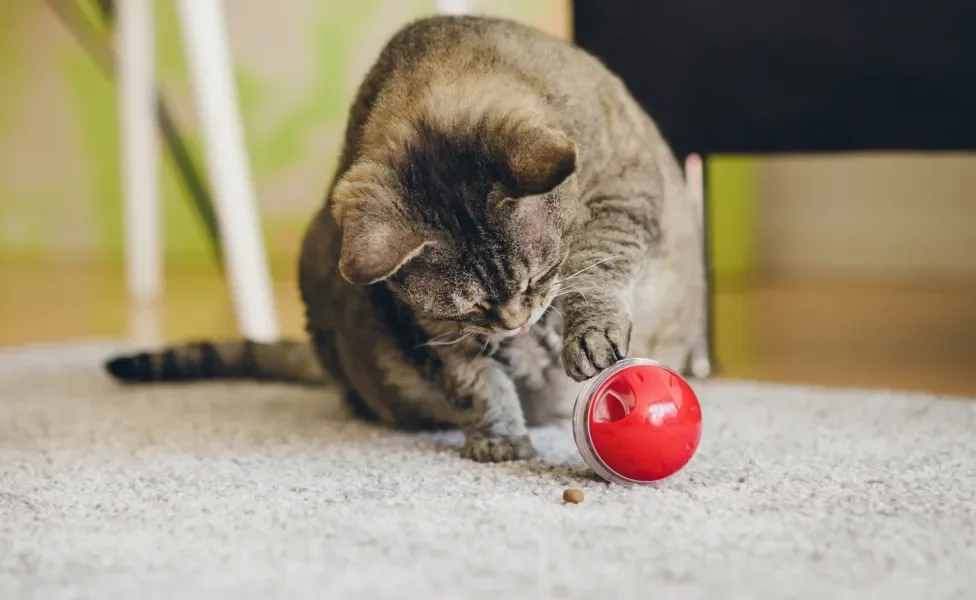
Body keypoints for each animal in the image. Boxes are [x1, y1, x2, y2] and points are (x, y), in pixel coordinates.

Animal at [105, 15, 708, 464]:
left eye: (538, 276)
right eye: (472, 306)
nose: (515, 323)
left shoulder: (624, 194)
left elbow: (598, 267)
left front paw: (585, 333)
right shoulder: (433, 325)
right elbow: (475, 381)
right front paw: (499, 436)